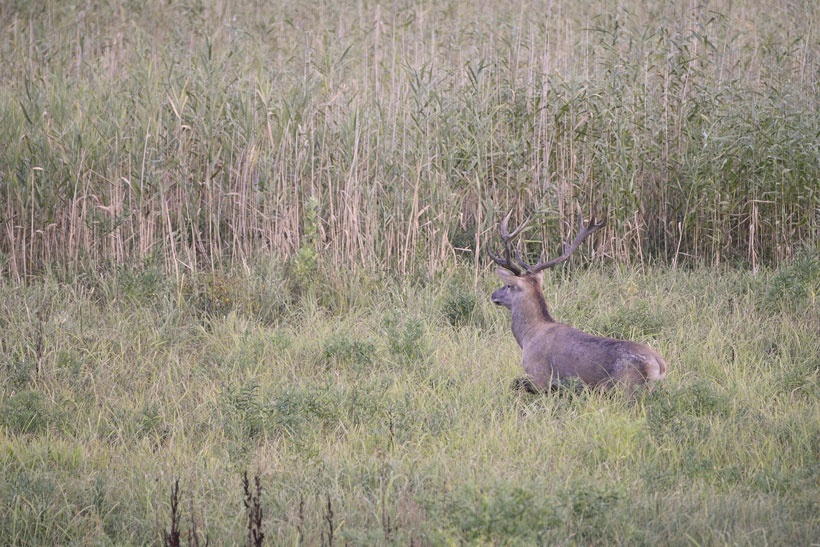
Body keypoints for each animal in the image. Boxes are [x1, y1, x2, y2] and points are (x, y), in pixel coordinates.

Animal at [486, 210, 668, 394]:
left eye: (508, 285)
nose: (493, 295)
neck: (527, 337)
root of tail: (660, 364)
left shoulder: (539, 375)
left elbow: (515, 383)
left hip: (626, 386)